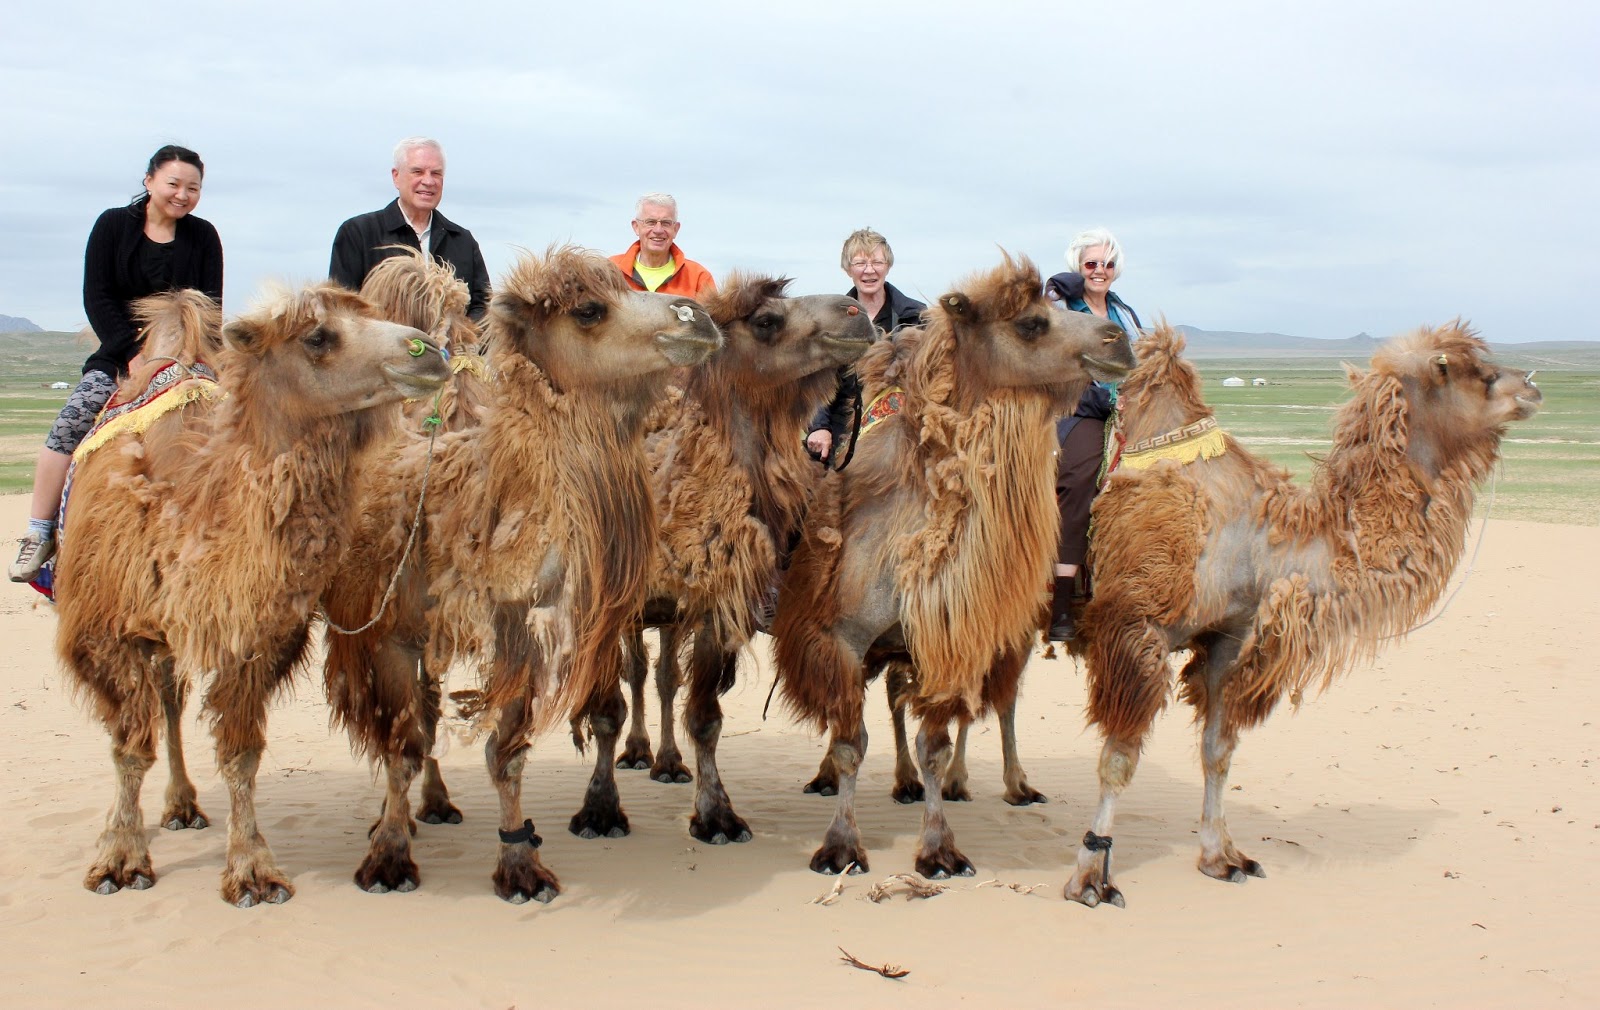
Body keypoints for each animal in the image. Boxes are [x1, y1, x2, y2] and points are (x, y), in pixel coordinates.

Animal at [52, 286, 449, 906]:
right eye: (318, 336)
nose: (429, 351)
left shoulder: (253, 637)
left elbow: (241, 755)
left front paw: (252, 868)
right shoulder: (106, 631)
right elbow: (129, 748)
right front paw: (119, 858)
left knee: (171, 697)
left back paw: (183, 804)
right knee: (163, 704)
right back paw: (175, 808)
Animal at [320, 247, 721, 903]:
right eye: (589, 310)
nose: (700, 318)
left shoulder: (519, 633)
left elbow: (506, 753)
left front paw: (519, 865)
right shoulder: (387, 635)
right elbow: (401, 748)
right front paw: (388, 859)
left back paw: (435, 805)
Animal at [567, 274, 875, 845]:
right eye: (767, 320)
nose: (857, 313)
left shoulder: (714, 604)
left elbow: (704, 716)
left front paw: (716, 815)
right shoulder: (608, 609)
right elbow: (604, 712)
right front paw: (598, 810)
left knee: (664, 676)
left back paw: (667, 762)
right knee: (639, 673)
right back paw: (638, 753)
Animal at [773, 254, 1133, 878]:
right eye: (1032, 323)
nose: (1121, 340)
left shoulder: (946, 636)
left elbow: (935, 745)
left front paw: (940, 847)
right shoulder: (841, 637)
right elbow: (848, 743)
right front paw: (840, 845)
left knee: (982, 701)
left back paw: (999, 785)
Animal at [1063, 323, 1542, 907]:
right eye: (1472, 371)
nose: (1531, 387)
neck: (1257, 537)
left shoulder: (1228, 638)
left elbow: (1218, 751)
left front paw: (1222, 857)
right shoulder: (1137, 627)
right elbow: (1120, 758)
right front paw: (1091, 875)